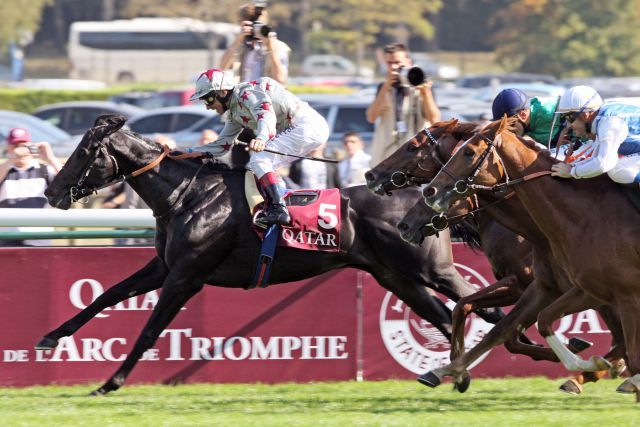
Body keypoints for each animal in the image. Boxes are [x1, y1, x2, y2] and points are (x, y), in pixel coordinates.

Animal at [40, 115, 502, 396]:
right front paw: (50, 338)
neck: (187, 194)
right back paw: (456, 375)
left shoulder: (186, 276)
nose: (51, 191)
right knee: (443, 314)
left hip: (432, 270)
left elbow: (150, 329)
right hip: (398, 278)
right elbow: (108, 295)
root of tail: (428, 195)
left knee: (475, 304)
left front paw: (111, 382)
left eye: (85, 152)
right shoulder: (162, 267)